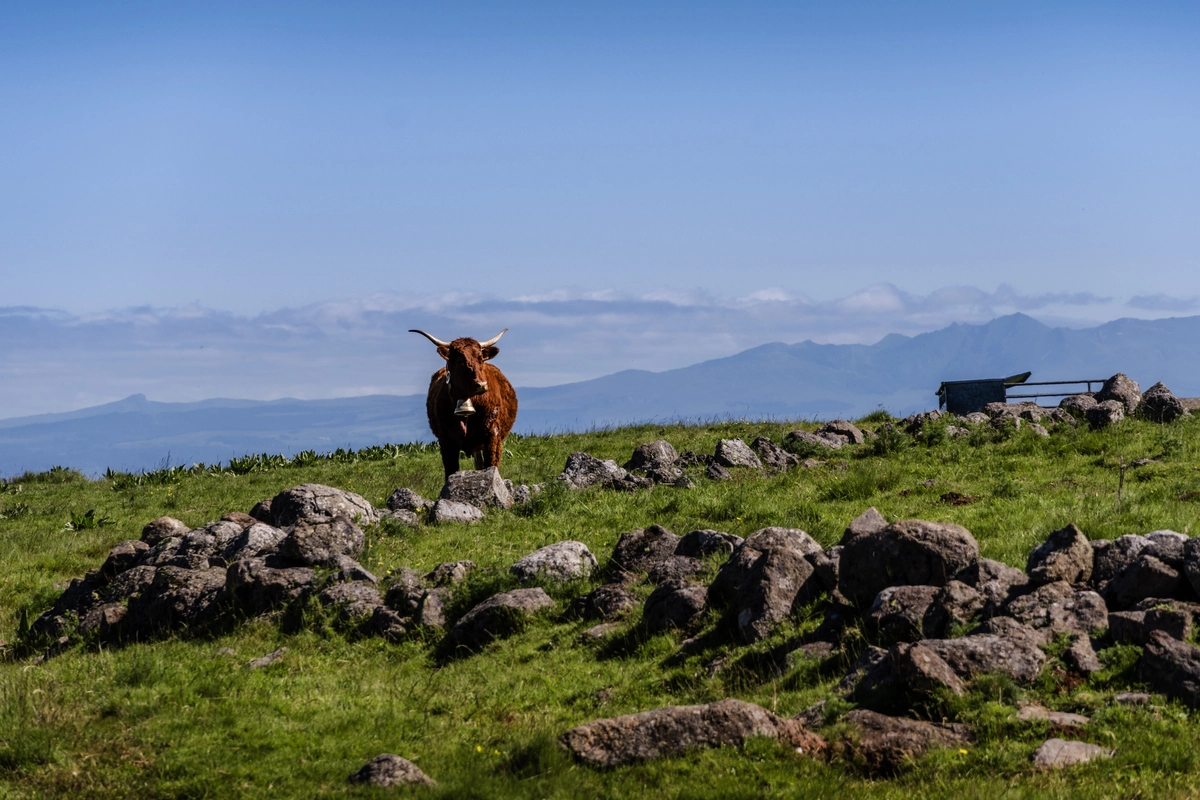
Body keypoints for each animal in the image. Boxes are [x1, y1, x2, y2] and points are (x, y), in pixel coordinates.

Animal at [410, 328, 518, 480]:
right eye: (460, 361)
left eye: (480, 358)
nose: (481, 385)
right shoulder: (446, 440)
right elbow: (451, 470)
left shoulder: (492, 435)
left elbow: (491, 464)